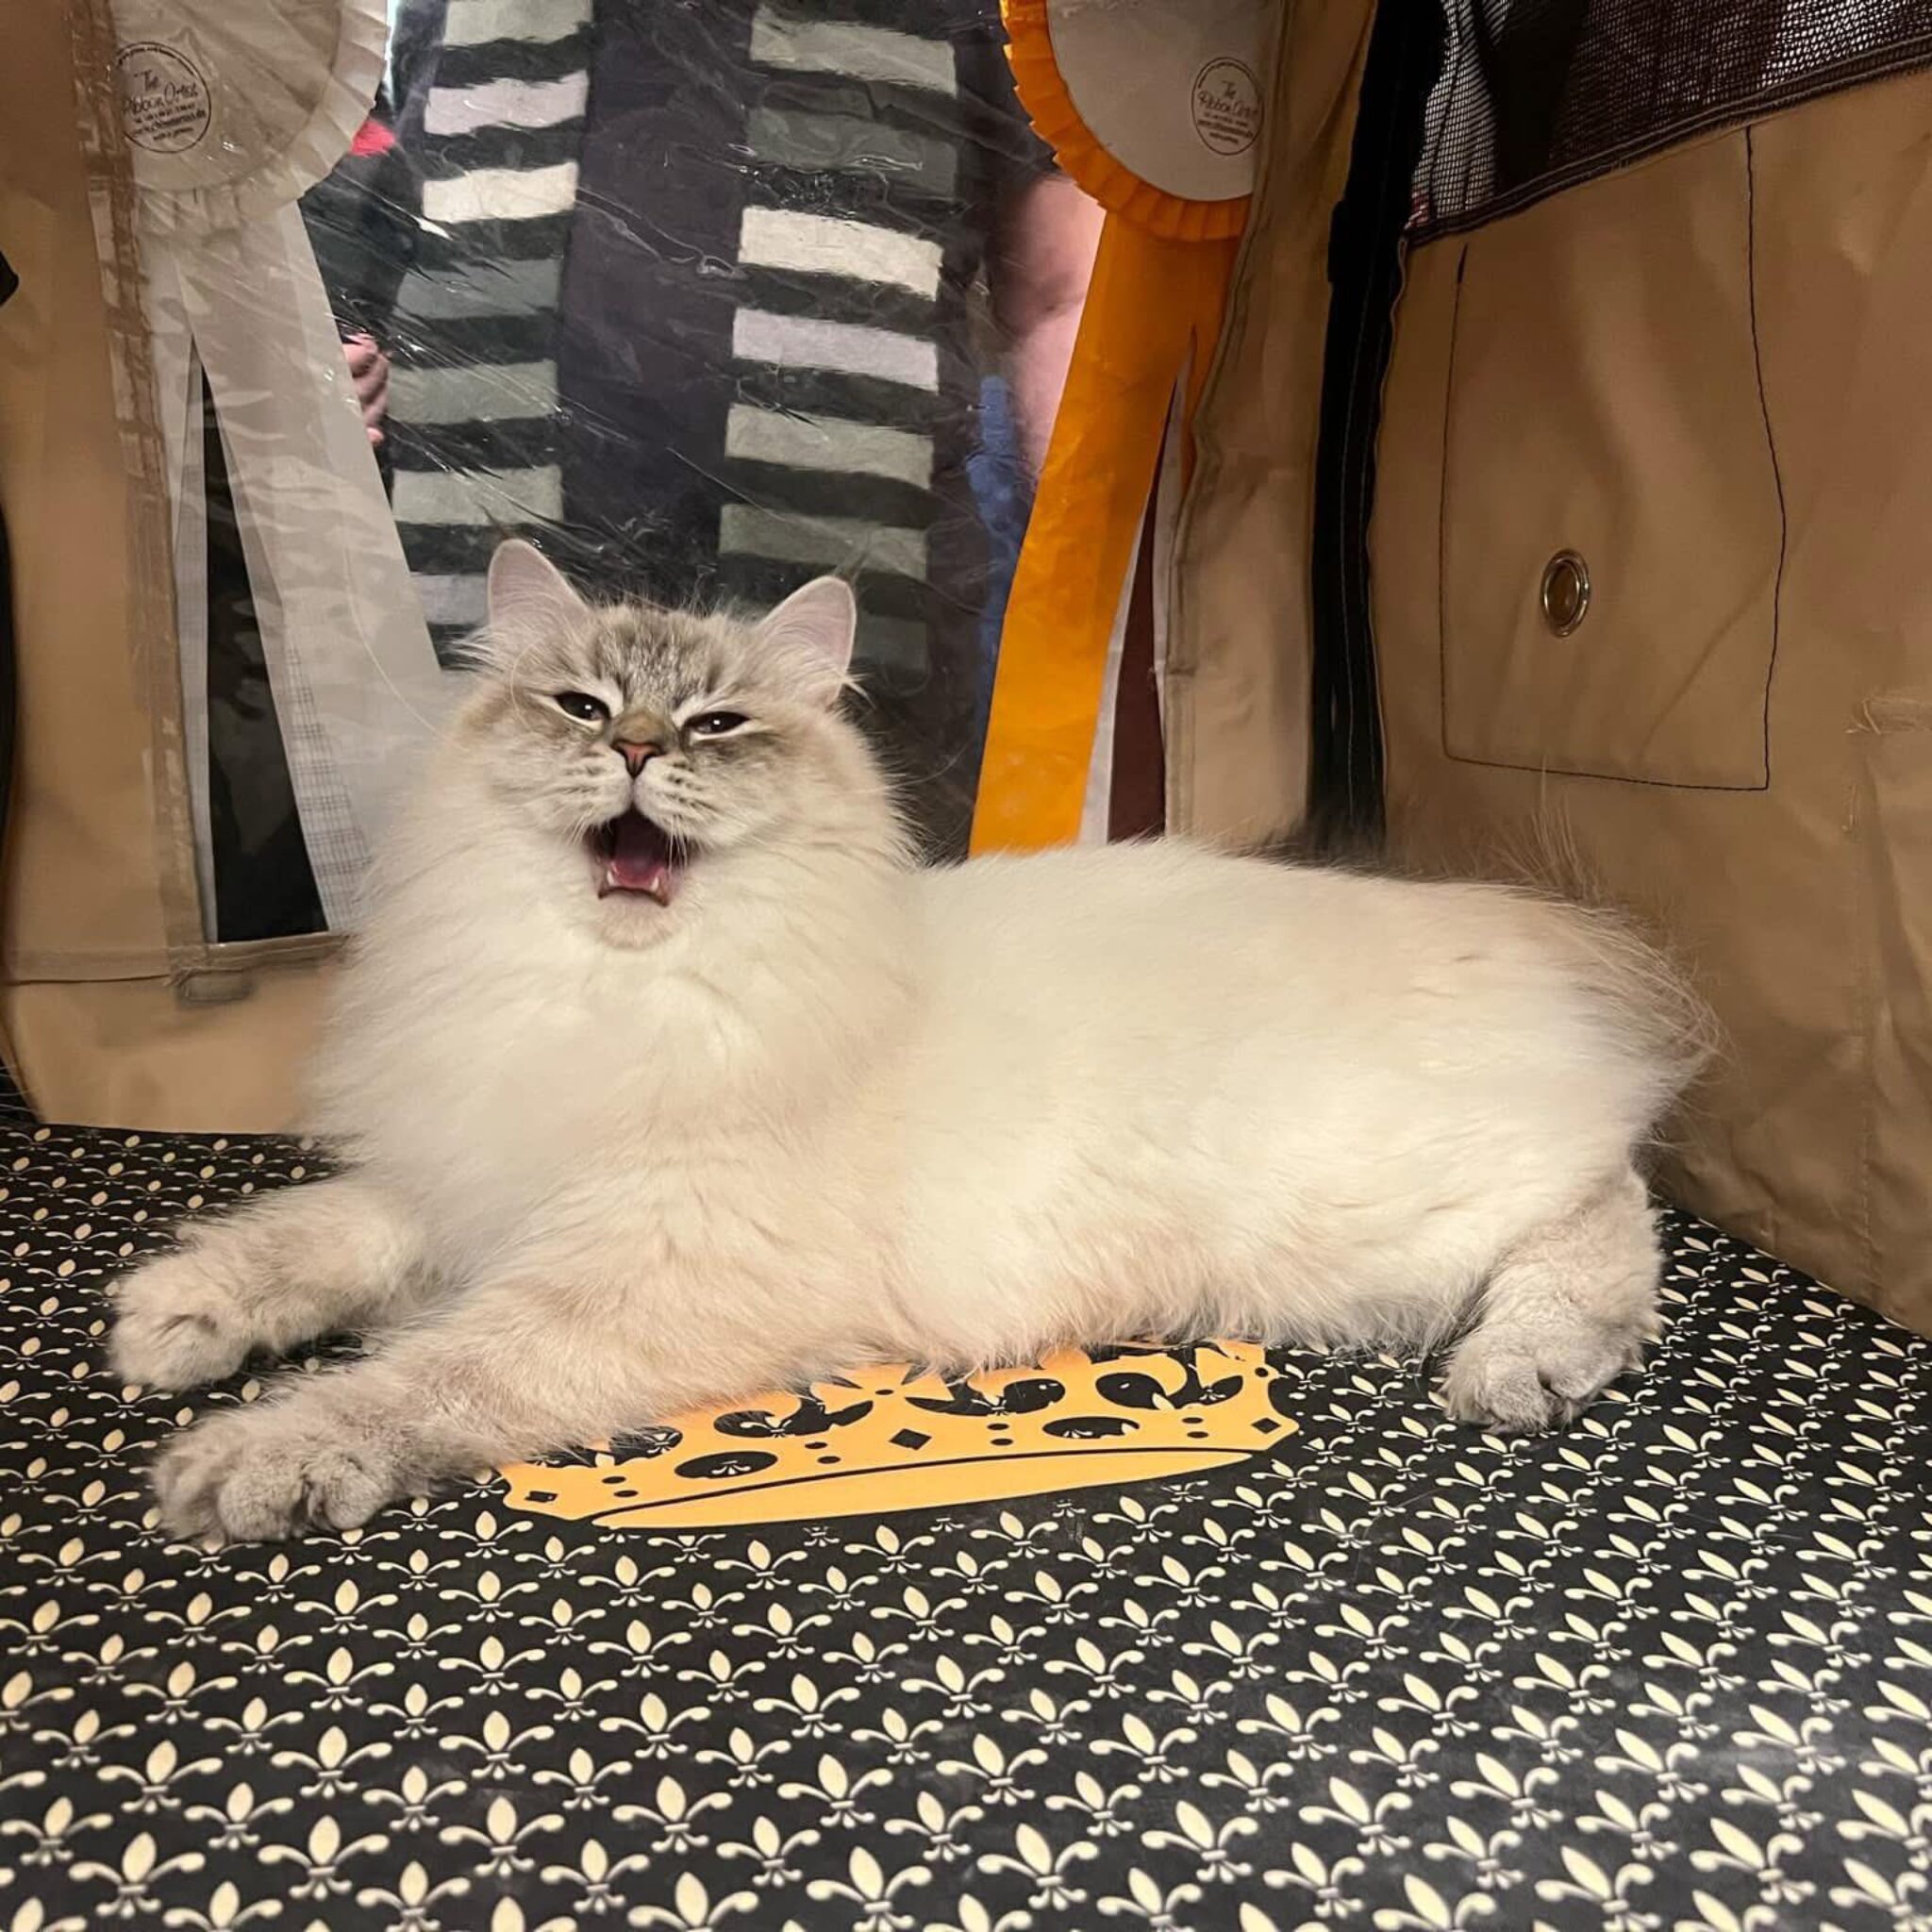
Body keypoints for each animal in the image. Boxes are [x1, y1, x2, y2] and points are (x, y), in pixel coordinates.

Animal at [110, 539, 1705, 1542]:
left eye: (714, 724)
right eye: (580, 704)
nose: (634, 749)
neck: (616, 999)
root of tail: (1522, 932)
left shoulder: (629, 1280)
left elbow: (421, 1380)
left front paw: (244, 1460)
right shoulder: (470, 1171)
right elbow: (323, 1234)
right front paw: (178, 1319)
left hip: (1381, 1221)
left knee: (1606, 1205)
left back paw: (1524, 1366)